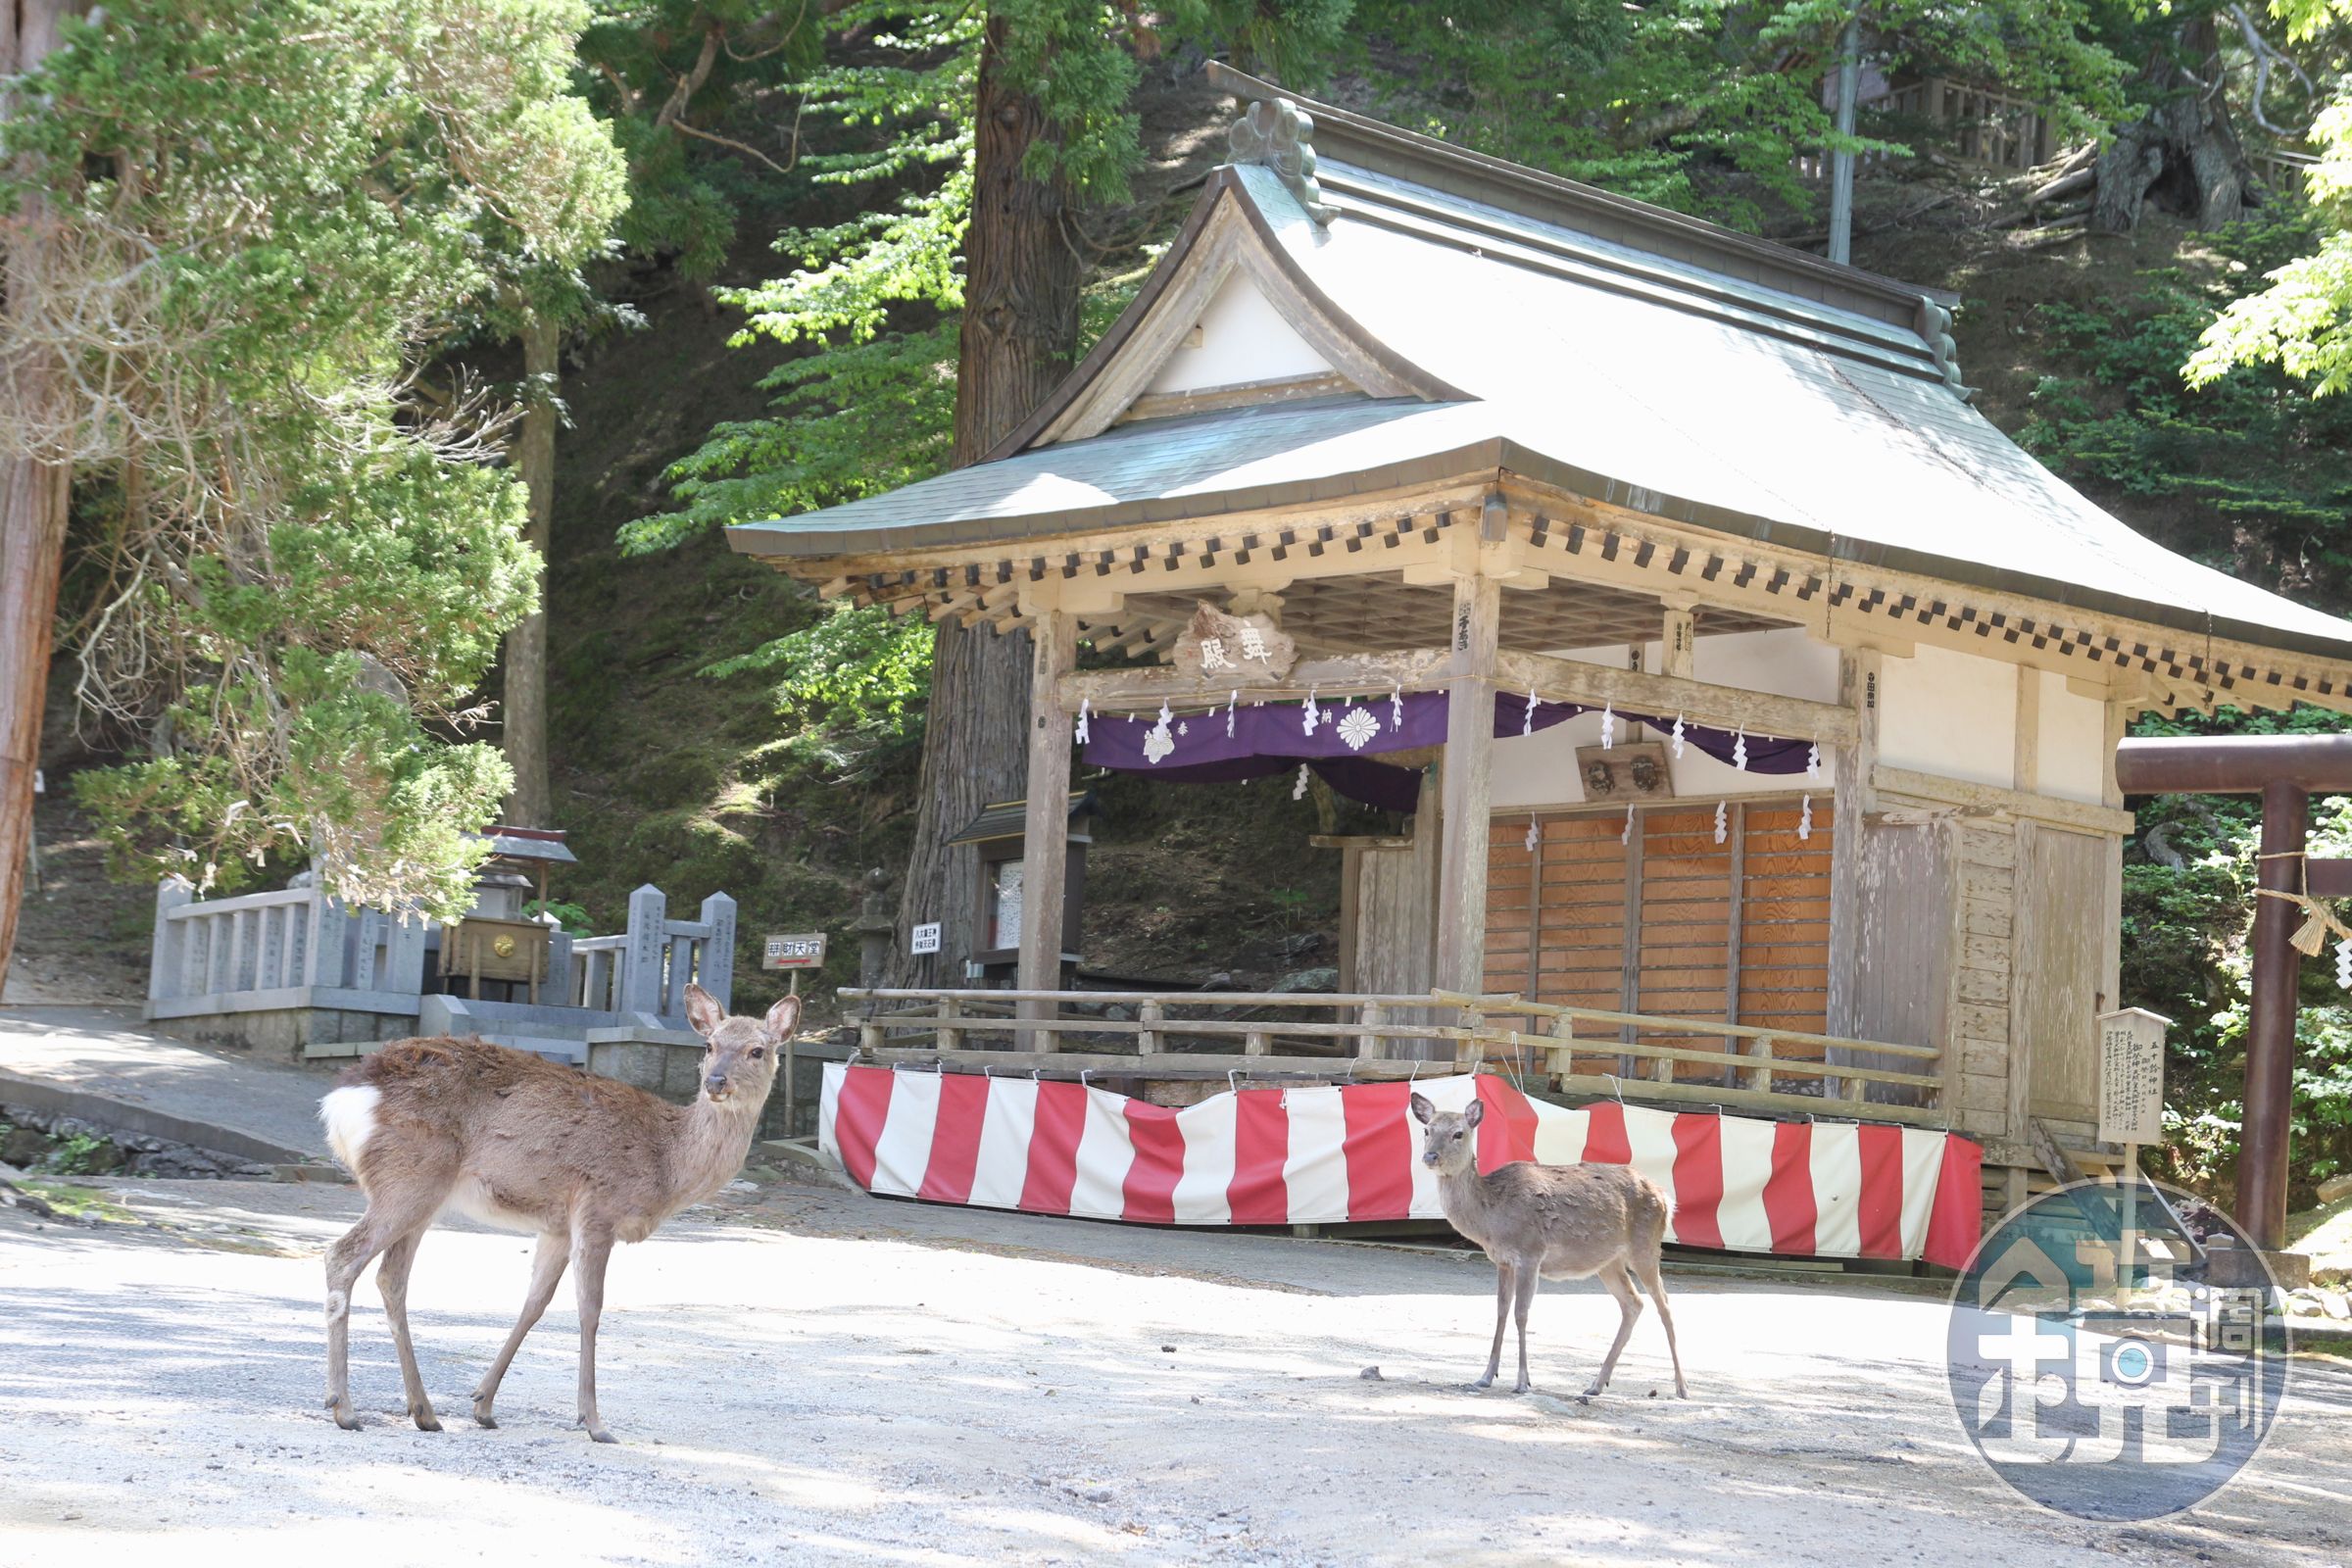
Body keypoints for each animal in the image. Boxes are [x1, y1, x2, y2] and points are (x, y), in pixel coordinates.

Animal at [316, 982, 798, 1442]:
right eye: (710, 1044)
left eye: (758, 1050)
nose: (716, 1081)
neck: (666, 1164)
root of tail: (342, 1098)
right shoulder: (597, 1207)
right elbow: (590, 1308)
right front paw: (594, 1421)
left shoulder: (557, 1227)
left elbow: (535, 1303)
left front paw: (483, 1404)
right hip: (410, 1177)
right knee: (342, 1255)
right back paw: (344, 1408)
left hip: (421, 1193)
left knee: (391, 1279)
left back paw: (425, 1412)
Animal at [1410, 1092, 1688, 1401]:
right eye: (1427, 1130)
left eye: (1459, 1133)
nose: (1430, 1156)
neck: (1491, 1221)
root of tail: (1666, 1198)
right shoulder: (1502, 1261)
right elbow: (1501, 1311)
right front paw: (1485, 1377)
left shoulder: (1530, 1252)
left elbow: (1521, 1314)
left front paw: (1522, 1382)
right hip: (1609, 1261)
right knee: (1633, 1303)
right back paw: (1595, 1384)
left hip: (1646, 1247)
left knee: (1665, 1305)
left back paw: (1682, 1387)